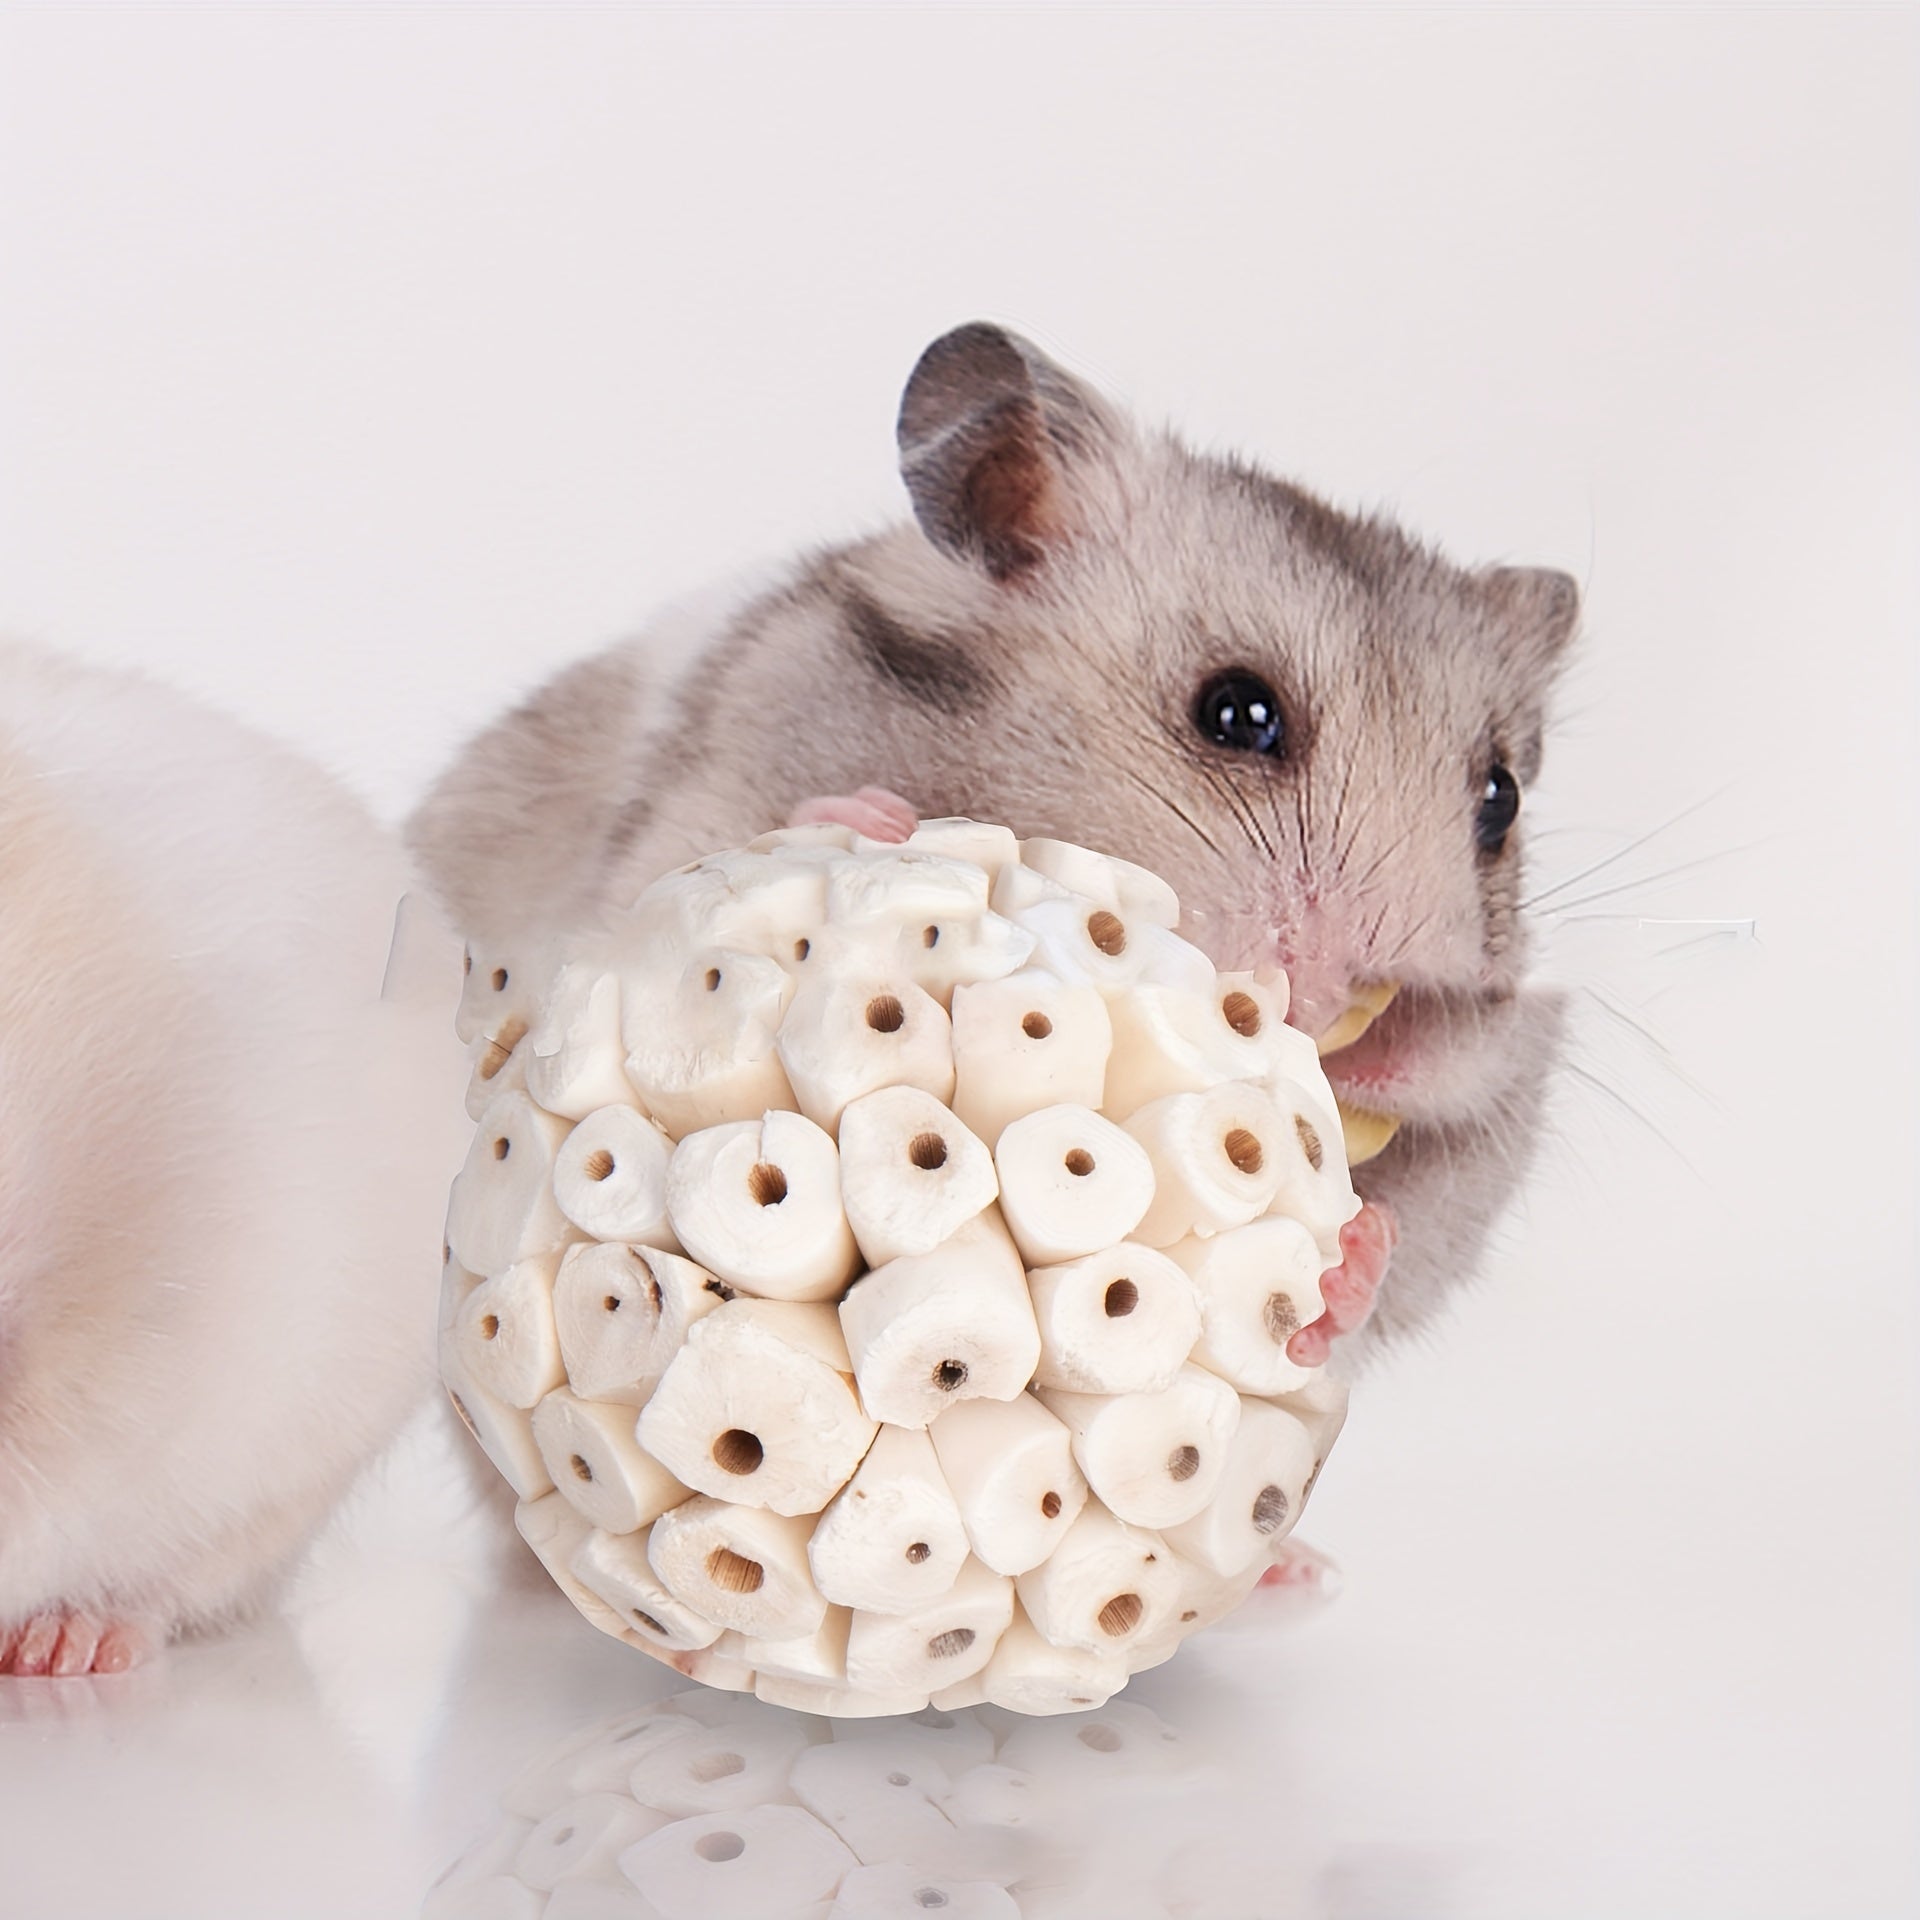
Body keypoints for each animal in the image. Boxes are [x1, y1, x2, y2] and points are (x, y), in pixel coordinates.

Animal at [409, 323, 1577, 1369]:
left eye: (1501, 799)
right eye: (1237, 714)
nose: (1381, 1026)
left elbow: (1383, 1272)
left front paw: (1354, 1256)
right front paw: (875, 819)